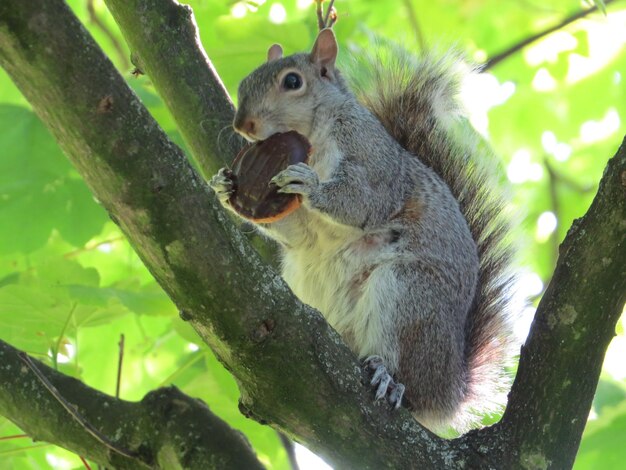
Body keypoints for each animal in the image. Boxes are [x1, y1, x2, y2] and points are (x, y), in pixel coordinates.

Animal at [207, 29, 516, 434]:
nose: (243, 125)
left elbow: (363, 201)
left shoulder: (371, 158)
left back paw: (388, 377)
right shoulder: (299, 225)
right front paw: (224, 186)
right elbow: (297, 233)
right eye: (244, 82)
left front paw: (310, 185)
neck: (313, 138)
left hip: (408, 294)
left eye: (292, 82)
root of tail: (448, 394)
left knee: (402, 368)